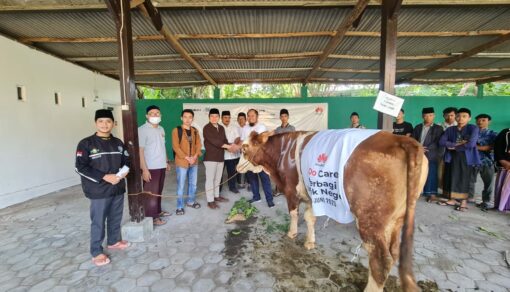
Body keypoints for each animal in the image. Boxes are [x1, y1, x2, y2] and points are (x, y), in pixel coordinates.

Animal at [237, 131, 428, 292]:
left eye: (244, 147)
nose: (237, 167)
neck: (283, 151)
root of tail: (403, 140)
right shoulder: (312, 194)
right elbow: (310, 218)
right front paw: (310, 242)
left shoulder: (291, 190)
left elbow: (293, 213)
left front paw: (292, 233)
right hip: (397, 219)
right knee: (393, 252)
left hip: (370, 219)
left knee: (381, 261)